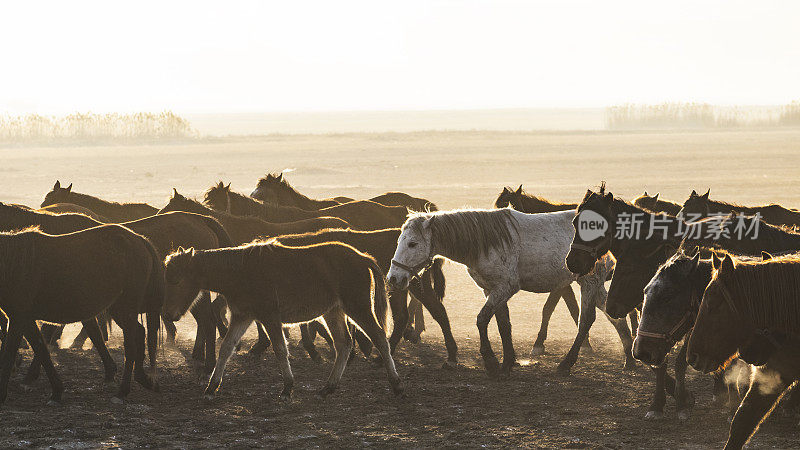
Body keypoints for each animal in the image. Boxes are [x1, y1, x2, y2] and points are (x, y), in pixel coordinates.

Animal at [0, 225, 163, 404]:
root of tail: (139, 239)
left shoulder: (19, 318)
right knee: (139, 333)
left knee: (130, 346)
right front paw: (56, 392)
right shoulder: (26, 320)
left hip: (126, 307)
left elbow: (9, 355)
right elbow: (42, 350)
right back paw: (143, 379)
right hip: (118, 308)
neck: (15, 266)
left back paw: (122, 392)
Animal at [162, 241, 404, 400]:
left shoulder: (270, 318)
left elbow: (280, 349)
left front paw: (287, 387)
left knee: (380, 339)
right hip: (333, 312)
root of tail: (362, 257)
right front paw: (212, 387)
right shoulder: (242, 317)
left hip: (358, 309)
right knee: (343, 344)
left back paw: (396, 385)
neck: (240, 271)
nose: (168, 314)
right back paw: (328, 387)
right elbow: (226, 348)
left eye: (177, 280)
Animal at [388, 208, 632, 376]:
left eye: (412, 243)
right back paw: (629, 359)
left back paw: (566, 364)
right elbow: (503, 324)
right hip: (596, 285)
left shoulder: (505, 287)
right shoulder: (492, 290)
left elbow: (482, 319)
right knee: (614, 316)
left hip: (589, 282)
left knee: (586, 320)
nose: (393, 278)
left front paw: (491, 362)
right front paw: (507, 362)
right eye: (400, 241)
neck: (484, 242)